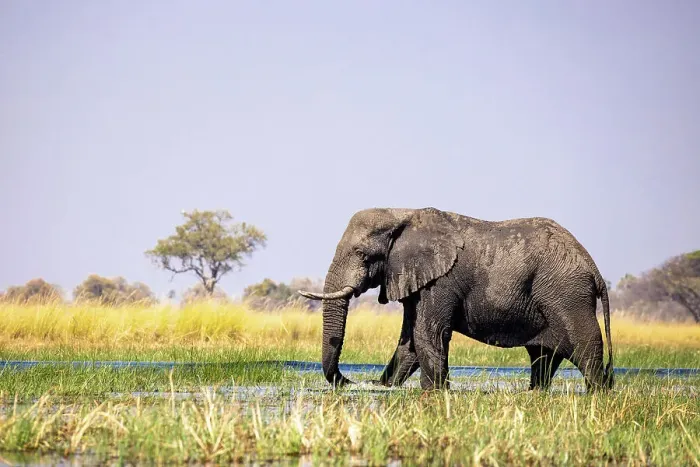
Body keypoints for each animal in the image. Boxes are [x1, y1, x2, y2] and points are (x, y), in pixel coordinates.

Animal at [298, 207, 614, 392]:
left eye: (362, 255)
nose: (352, 382)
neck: (403, 214)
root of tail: (594, 269)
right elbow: (410, 343)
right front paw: (388, 388)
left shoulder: (440, 281)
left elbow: (427, 335)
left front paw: (436, 394)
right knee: (543, 358)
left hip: (567, 295)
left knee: (587, 348)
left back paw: (599, 395)